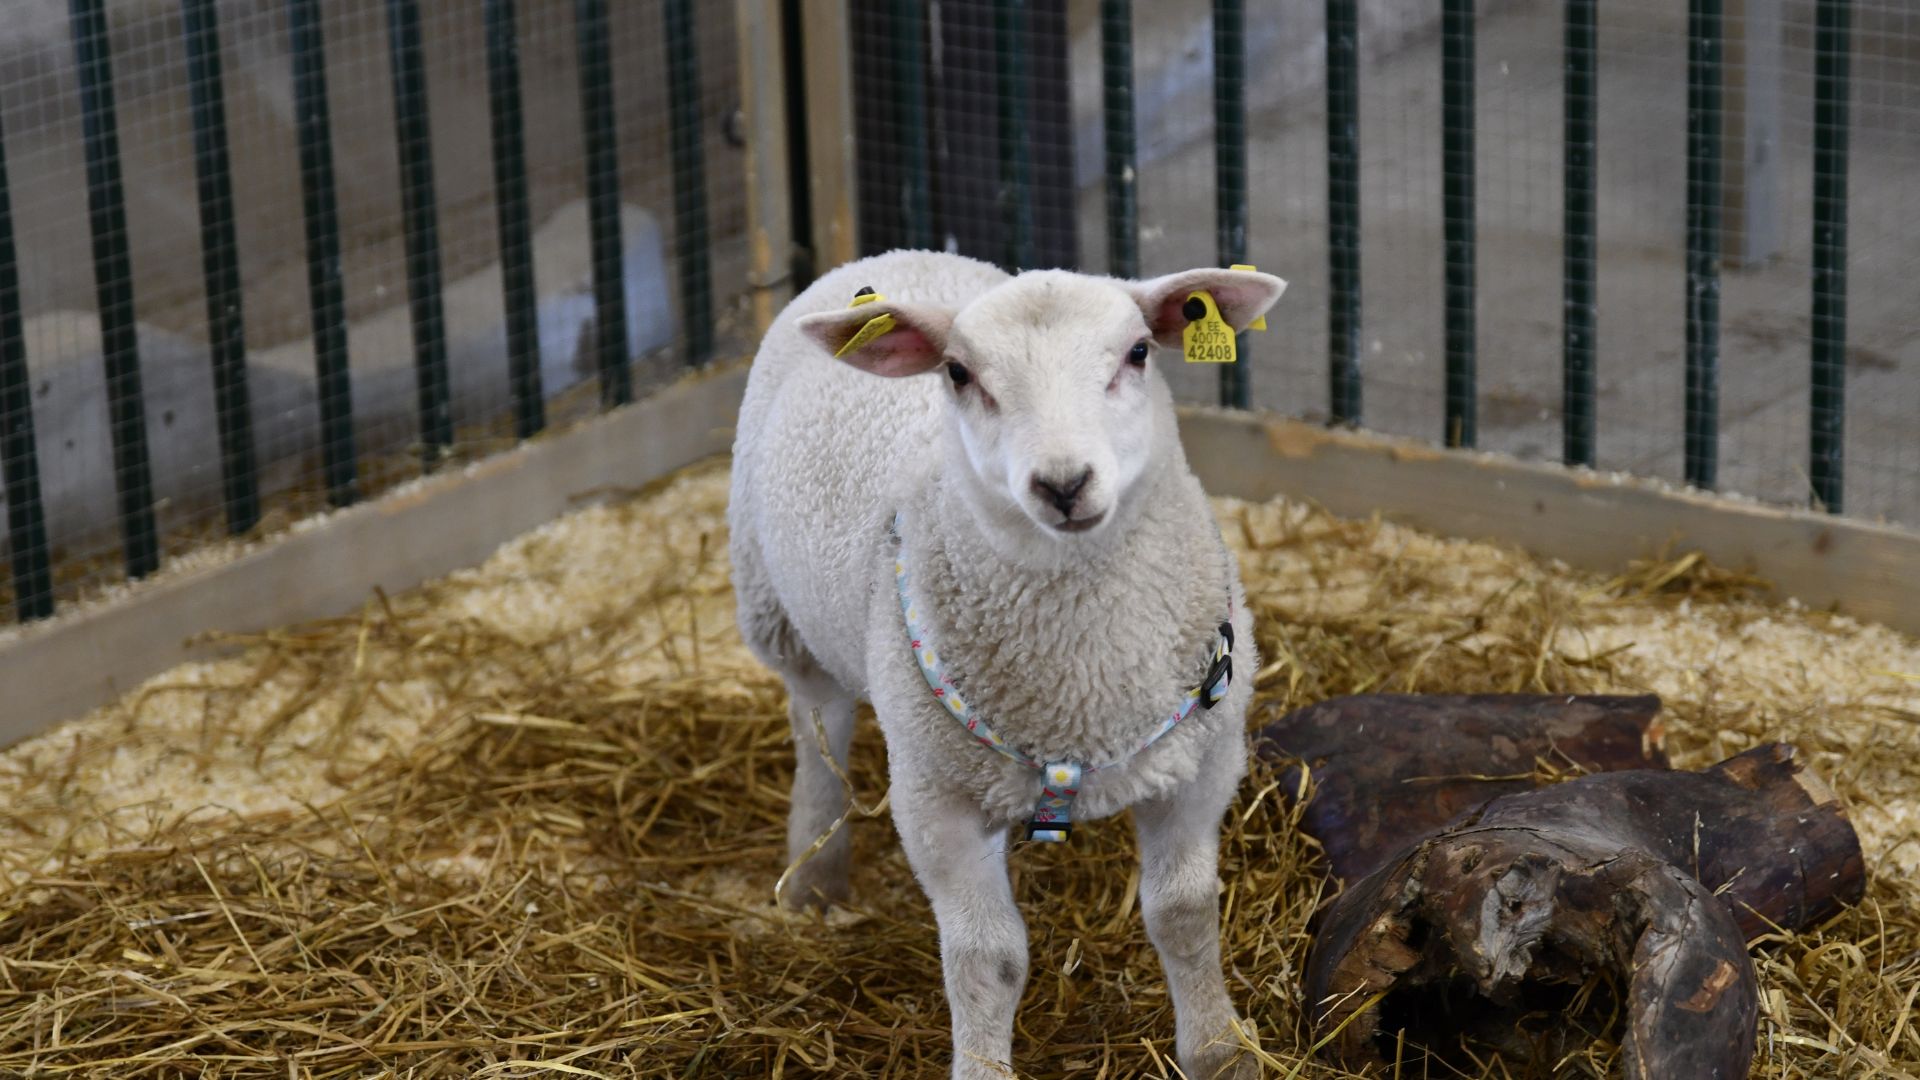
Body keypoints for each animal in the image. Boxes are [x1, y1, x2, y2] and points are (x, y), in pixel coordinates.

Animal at [728, 249, 1285, 1080]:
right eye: (959, 373)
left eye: (1138, 352)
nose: (1063, 483)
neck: (1081, 685)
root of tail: (891, 257)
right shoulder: (936, 800)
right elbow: (987, 960)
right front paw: (983, 1065)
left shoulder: (1202, 763)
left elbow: (1183, 913)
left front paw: (1221, 1050)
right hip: (775, 607)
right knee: (816, 728)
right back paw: (815, 874)